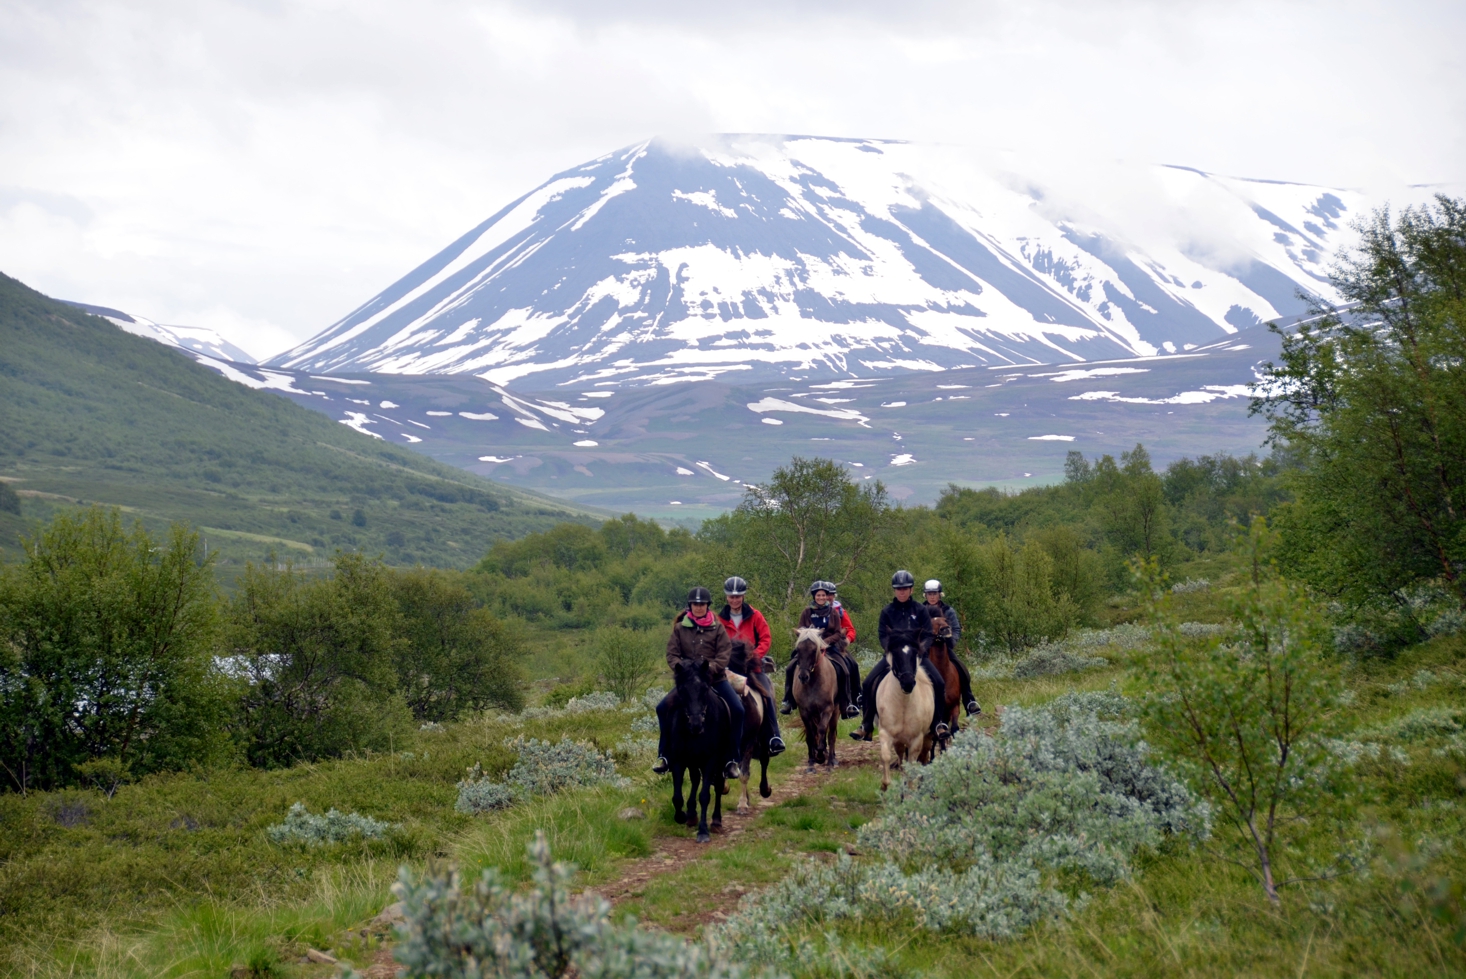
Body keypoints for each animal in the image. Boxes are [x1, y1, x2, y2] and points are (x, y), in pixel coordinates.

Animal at [668, 656, 730, 844]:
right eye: (682, 690)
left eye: (704, 689)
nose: (696, 725)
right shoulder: (678, 760)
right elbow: (677, 796)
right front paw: (682, 816)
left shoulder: (711, 760)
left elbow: (705, 796)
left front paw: (703, 831)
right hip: (694, 761)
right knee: (696, 779)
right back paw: (691, 815)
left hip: (720, 761)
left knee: (718, 786)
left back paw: (716, 822)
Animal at [791, 627, 838, 773]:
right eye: (798, 650)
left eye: (814, 650)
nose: (803, 677)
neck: (812, 682)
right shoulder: (804, 711)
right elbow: (811, 735)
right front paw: (812, 763)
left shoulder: (827, 709)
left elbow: (822, 730)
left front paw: (821, 755)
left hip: (835, 712)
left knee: (831, 734)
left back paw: (831, 762)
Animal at [873, 636, 932, 785]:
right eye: (896, 655)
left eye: (914, 654)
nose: (908, 683)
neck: (903, 703)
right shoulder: (886, 732)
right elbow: (886, 756)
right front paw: (885, 785)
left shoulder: (917, 739)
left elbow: (912, 765)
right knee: (901, 758)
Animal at [926, 615, 961, 744]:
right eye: (931, 623)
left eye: (946, 620)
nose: (945, 629)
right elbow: (940, 735)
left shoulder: (954, 706)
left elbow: (954, 728)